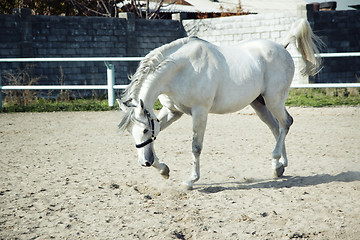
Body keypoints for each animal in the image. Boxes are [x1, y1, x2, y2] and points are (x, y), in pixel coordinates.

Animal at [118, 18, 324, 190]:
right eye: (130, 131)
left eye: (145, 130)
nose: (144, 162)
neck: (182, 69)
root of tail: (281, 47)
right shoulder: (172, 111)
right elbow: (159, 134)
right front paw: (163, 170)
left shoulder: (200, 112)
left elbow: (196, 147)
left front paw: (190, 181)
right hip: (259, 104)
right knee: (276, 126)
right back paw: (280, 166)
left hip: (274, 100)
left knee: (286, 123)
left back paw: (276, 162)